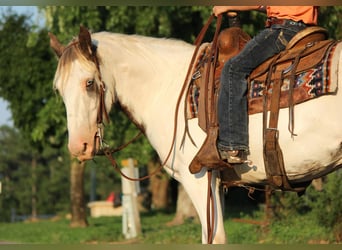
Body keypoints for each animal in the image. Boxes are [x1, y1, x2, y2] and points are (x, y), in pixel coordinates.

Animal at [48, 26, 342, 243]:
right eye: (58, 89)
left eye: (89, 83)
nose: (79, 147)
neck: (168, 88)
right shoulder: (217, 184)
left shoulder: (200, 179)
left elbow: (215, 238)